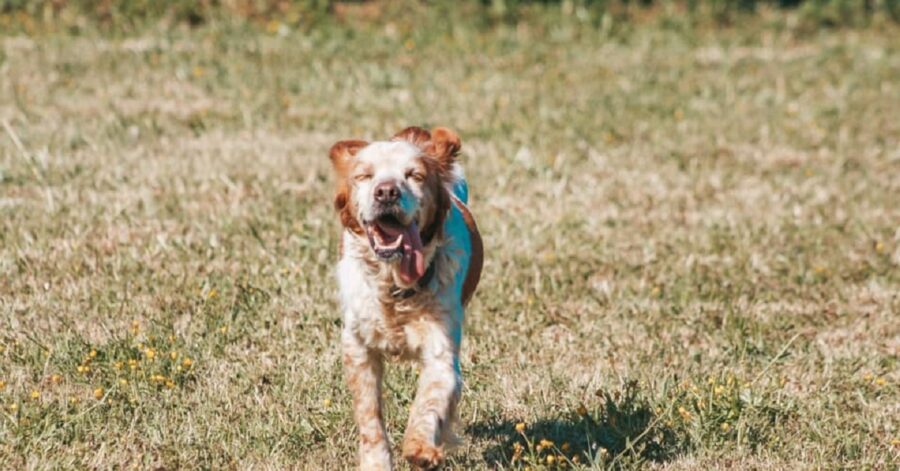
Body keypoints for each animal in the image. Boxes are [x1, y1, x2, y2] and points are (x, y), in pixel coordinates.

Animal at [328, 127, 482, 470]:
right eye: (364, 175)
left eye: (415, 175)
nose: (386, 192)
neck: (394, 285)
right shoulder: (357, 347)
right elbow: (370, 415)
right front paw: (376, 463)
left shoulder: (442, 350)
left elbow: (429, 401)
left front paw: (420, 447)